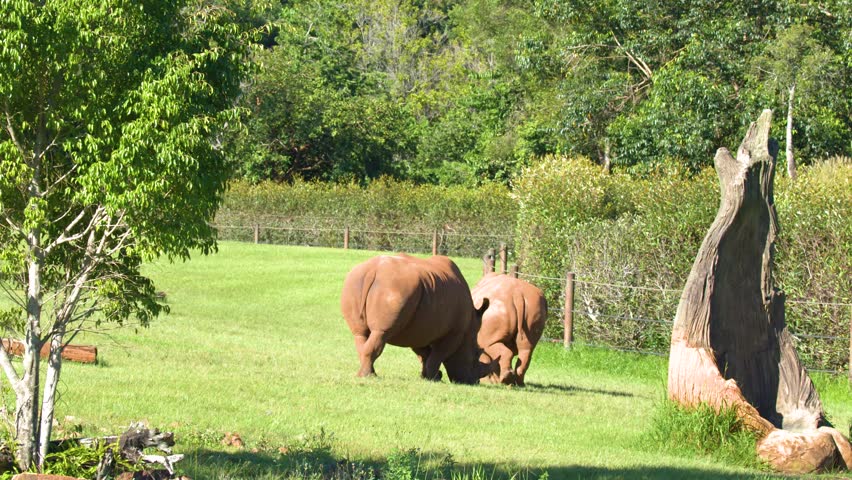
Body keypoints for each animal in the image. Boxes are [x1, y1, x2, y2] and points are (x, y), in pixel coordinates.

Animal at [340, 254, 490, 384]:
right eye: (476, 354)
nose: (474, 382)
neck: (470, 328)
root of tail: (372, 271)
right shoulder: (455, 332)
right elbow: (438, 355)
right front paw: (434, 379)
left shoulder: (418, 328)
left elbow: (424, 354)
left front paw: (429, 376)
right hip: (395, 287)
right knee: (381, 333)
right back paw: (369, 376)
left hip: (355, 282)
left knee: (360, 334)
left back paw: (365, 374)